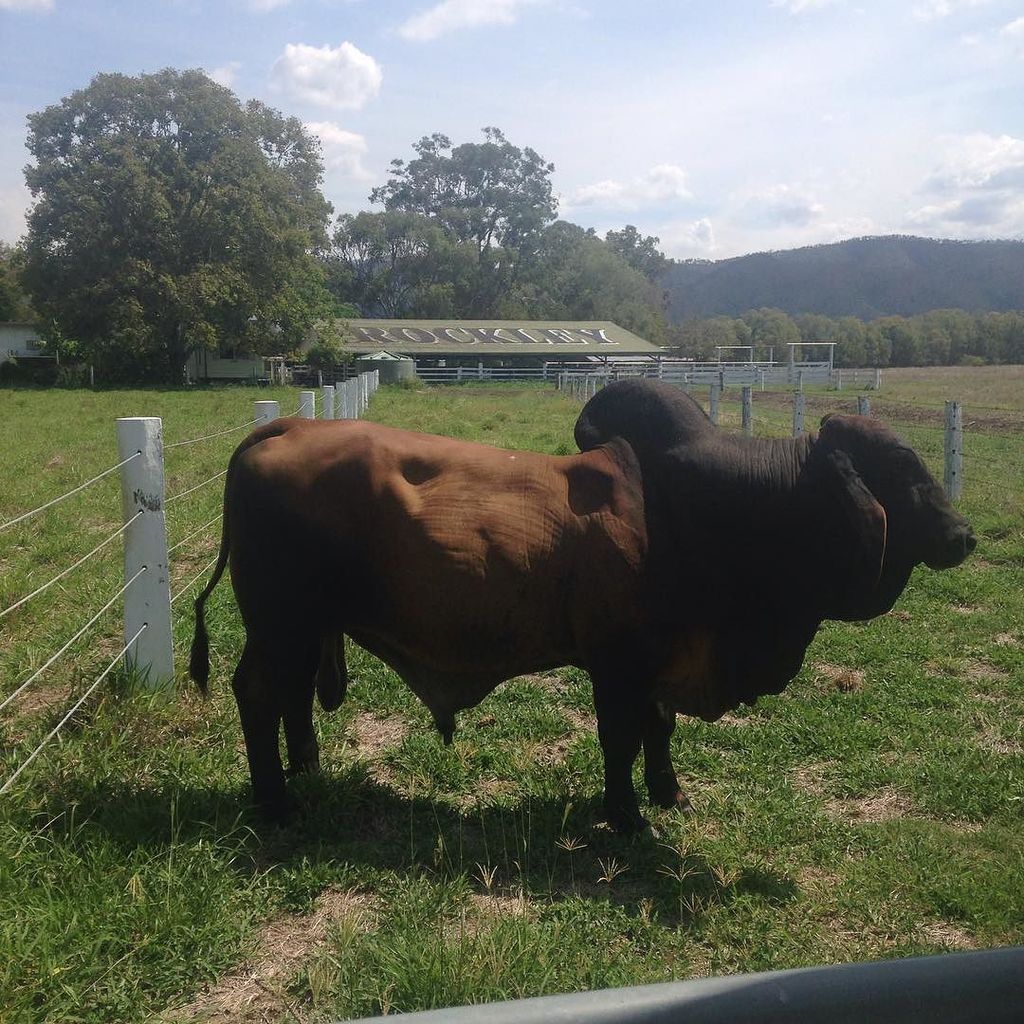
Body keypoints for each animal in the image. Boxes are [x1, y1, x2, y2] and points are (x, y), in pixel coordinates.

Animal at [190, 379, 975, 833]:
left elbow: (660, 731)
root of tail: (285, 428)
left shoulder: (660, 661)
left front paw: (667, 793)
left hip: (302, 627)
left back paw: (307, 768)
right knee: (257, 692)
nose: (965, 536)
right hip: (281, 621)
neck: (707, 514)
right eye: (901, 469)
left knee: (290, 695)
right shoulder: (620, 664)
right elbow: (622, 739)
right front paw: (626, 816)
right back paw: (276, 801)